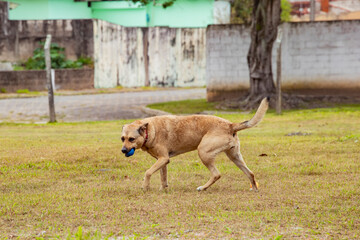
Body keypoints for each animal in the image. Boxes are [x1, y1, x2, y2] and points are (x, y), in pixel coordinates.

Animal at [121, 97, 268, 191]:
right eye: (123, 138)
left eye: (131, 139)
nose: (123, 150)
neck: (150, 130)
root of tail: (230, 125)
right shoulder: (162, 160)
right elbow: (163, 177)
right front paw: (163, 189)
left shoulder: (163, 158)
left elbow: (148, 172)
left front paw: (145, 187)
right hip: (235, 156)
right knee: (250, 173)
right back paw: (255, 189)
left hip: (203, 152)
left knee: (216, 174)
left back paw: (202, 188)